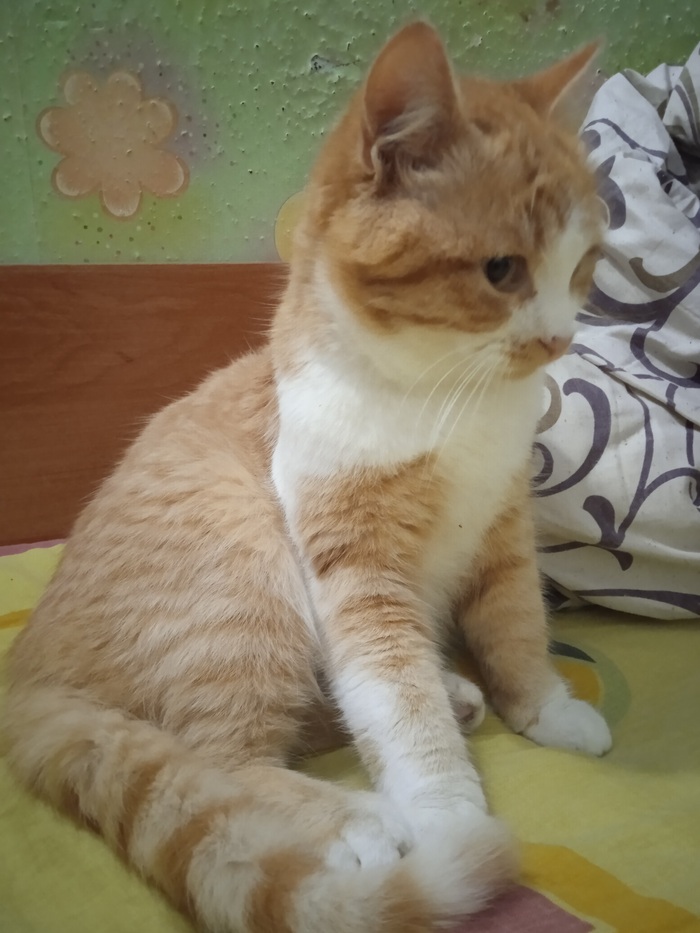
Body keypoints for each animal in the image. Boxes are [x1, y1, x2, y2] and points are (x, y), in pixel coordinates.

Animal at [3, 21, 611, 933]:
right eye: (502, 270)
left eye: (583, 267)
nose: (561, 339)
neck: (449, 401)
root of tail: (26, 667)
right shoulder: (359, 571)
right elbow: (398, 704)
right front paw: (448, 815)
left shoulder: (504, 532)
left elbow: (516, 631)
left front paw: (543, 708)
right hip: (241, 570)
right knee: (221, 761)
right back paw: (365, 817)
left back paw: (456, 694)